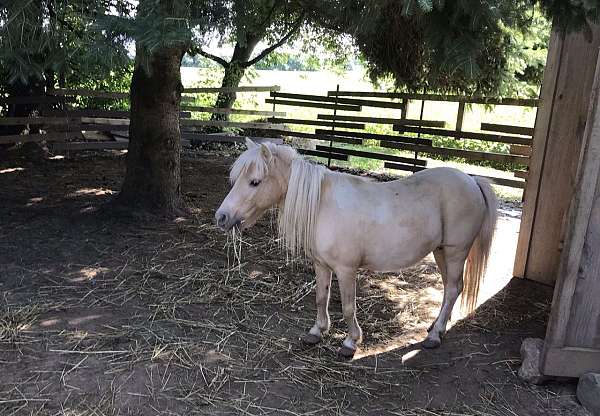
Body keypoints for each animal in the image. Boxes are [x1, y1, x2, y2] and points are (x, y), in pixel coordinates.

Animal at [216, 140, 496, 358]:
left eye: (255, 182)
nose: (221, 217)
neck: (323, 204)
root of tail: (472, 181)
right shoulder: (321, 265)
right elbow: (321, 298)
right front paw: (317, 332)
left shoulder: (346, 270)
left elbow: (348, 307)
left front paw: (350, 342)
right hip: (440, 251)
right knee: (450, 288)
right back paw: (436, 327)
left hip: (456, 251)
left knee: (453, 288)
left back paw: (435, 335)